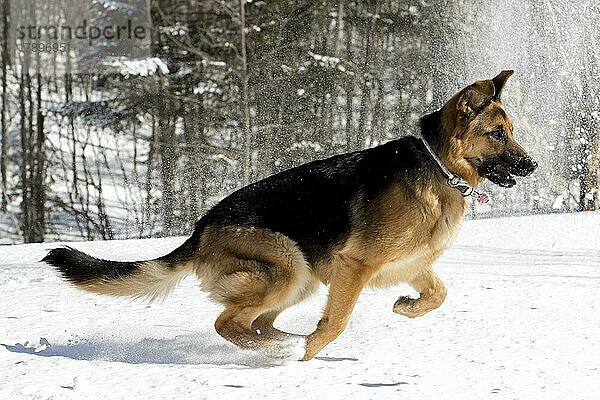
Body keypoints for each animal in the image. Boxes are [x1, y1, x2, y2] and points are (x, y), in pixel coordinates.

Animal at [44, 70, 536, 360]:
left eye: (510, 132)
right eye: (497, 134)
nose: (532, 166)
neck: (437, 165)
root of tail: (201, 227)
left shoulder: (413, 265)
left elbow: (438, 295)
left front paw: (406, 306)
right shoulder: (355, 266)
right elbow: (336, 322)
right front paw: (308, 355)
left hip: (301, 279)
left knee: (254, 323)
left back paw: (278, 343)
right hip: (287, 265)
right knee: (227, 323)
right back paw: (283, 350)